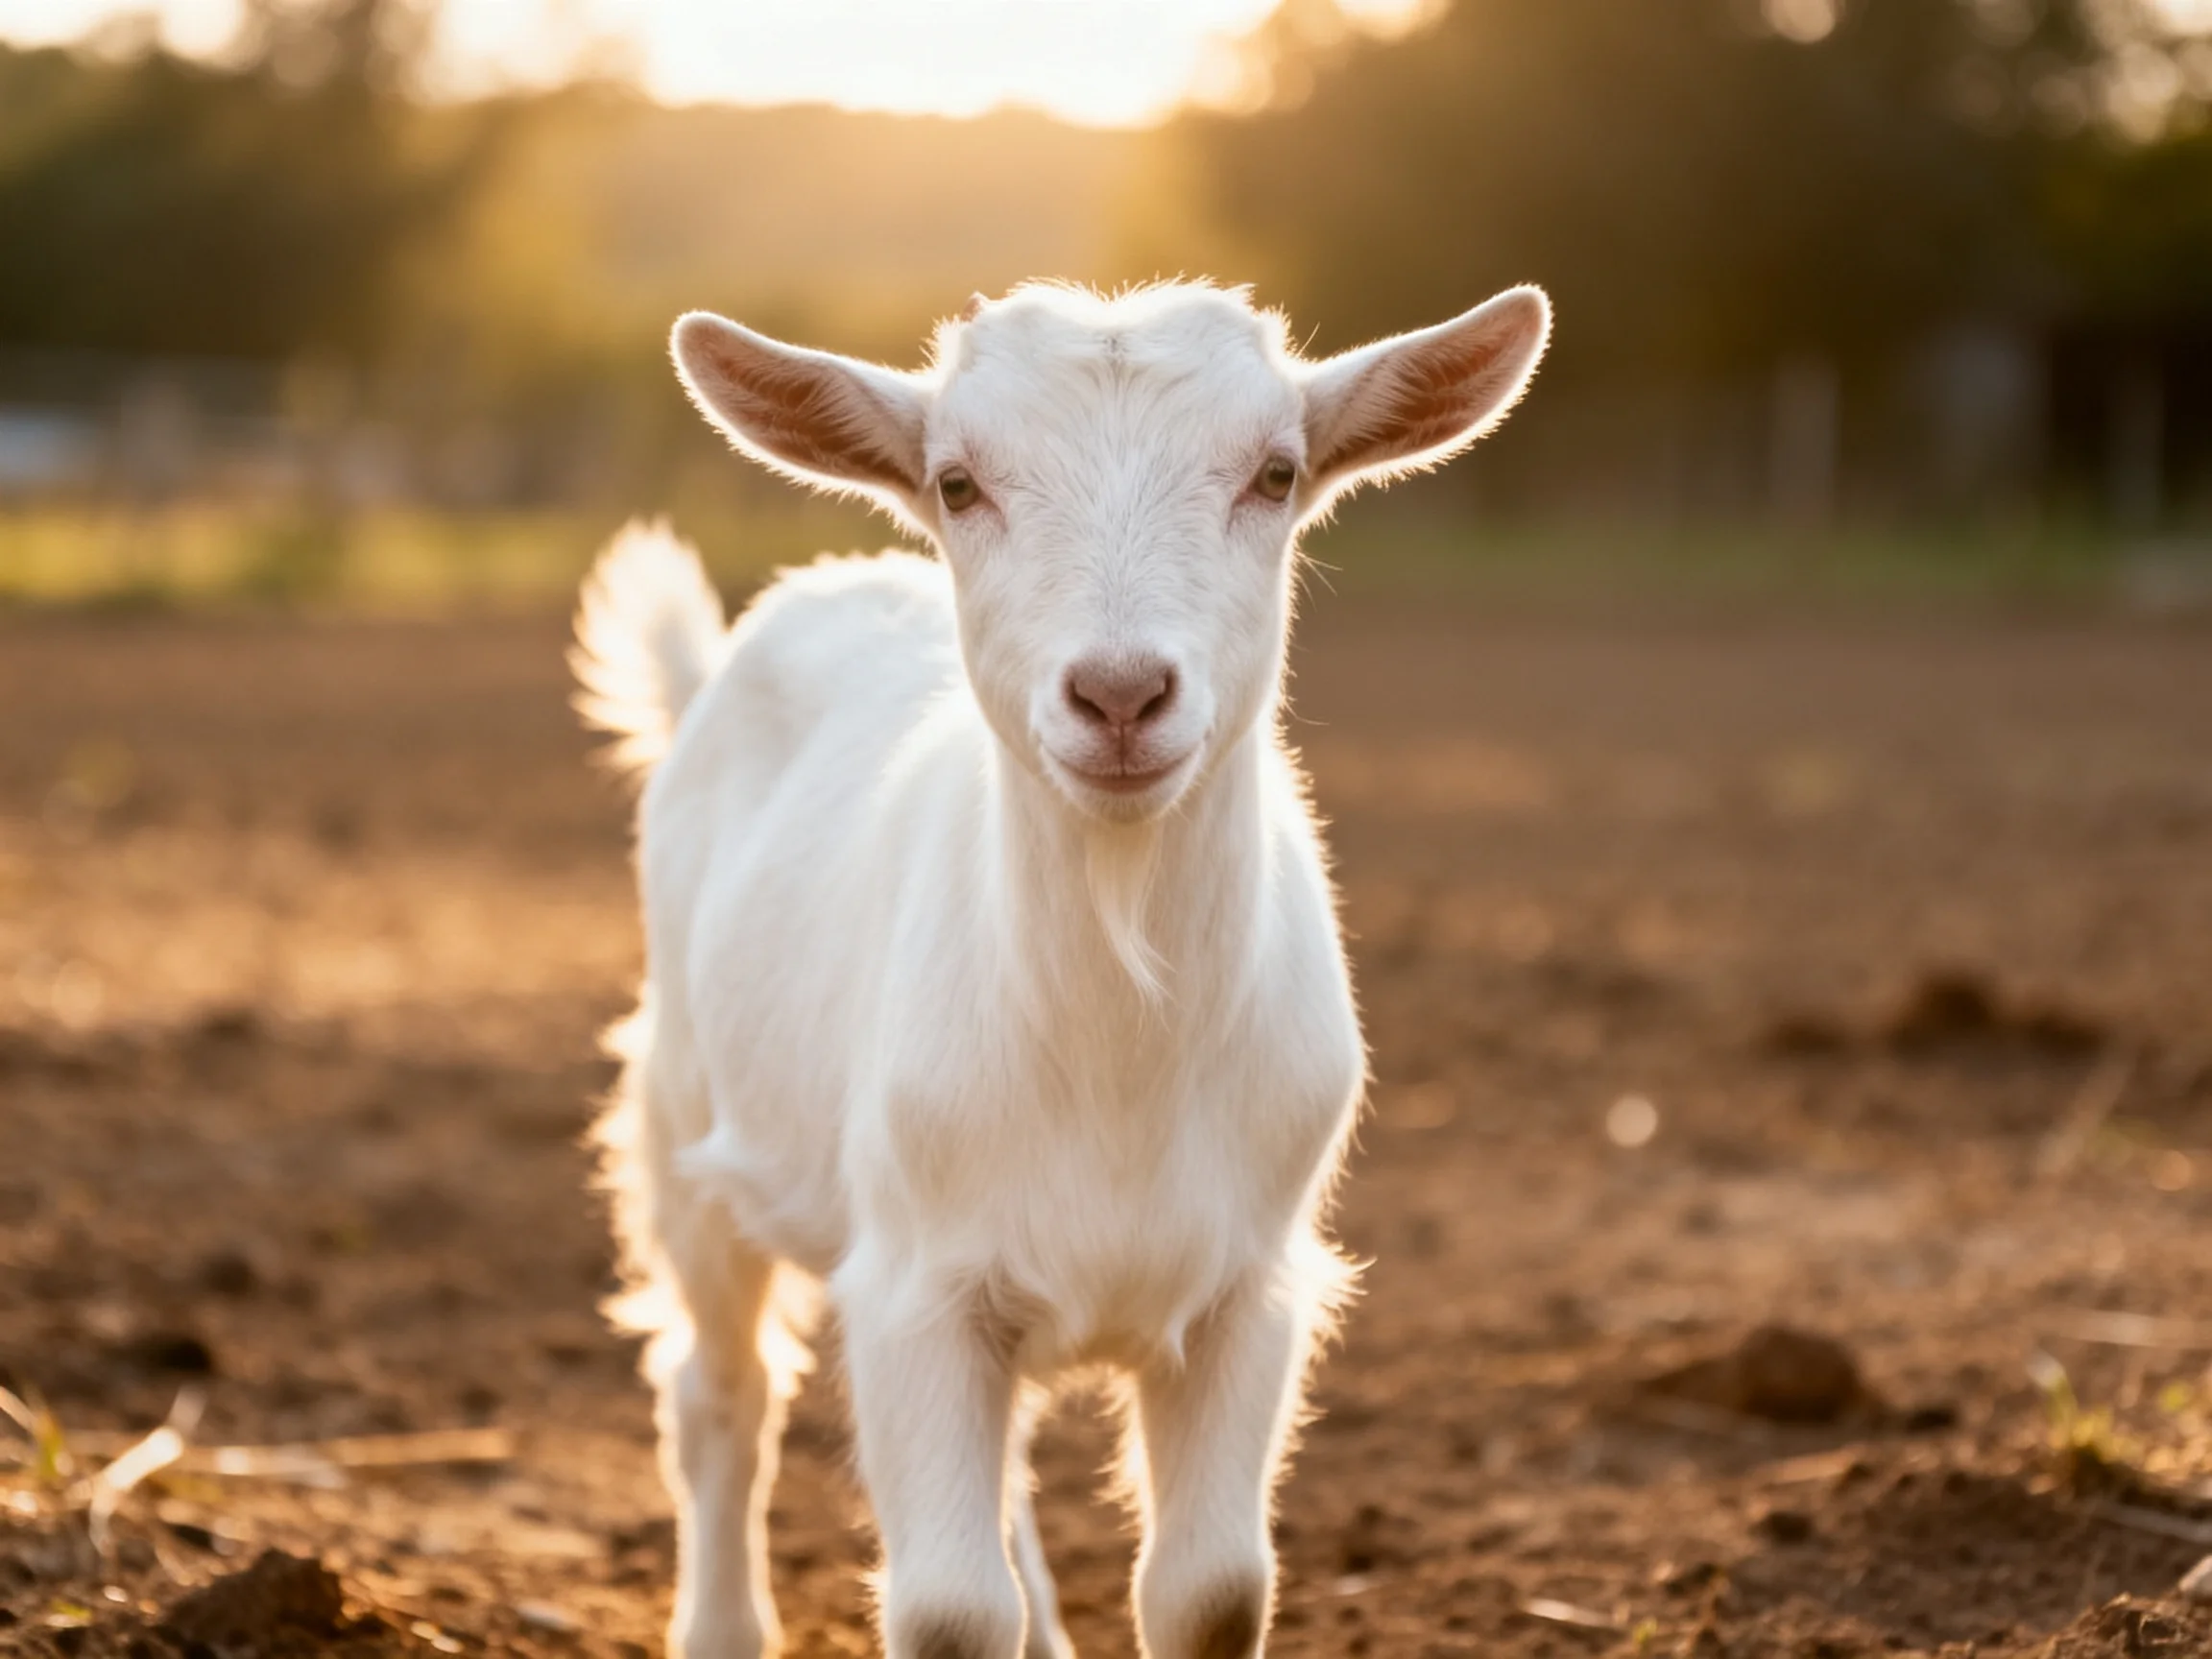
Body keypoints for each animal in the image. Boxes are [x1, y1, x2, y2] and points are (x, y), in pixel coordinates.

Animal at [572, 279, 1550, 1659]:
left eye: (1277, 472)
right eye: (958, 482)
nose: (1122, 694)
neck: (1116, 1042)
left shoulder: (1252, 1289)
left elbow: (1211, 1591)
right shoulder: (913, 1291)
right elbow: (945, 1610)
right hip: (684, 1123)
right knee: (720, 1392)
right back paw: (720, 1625)